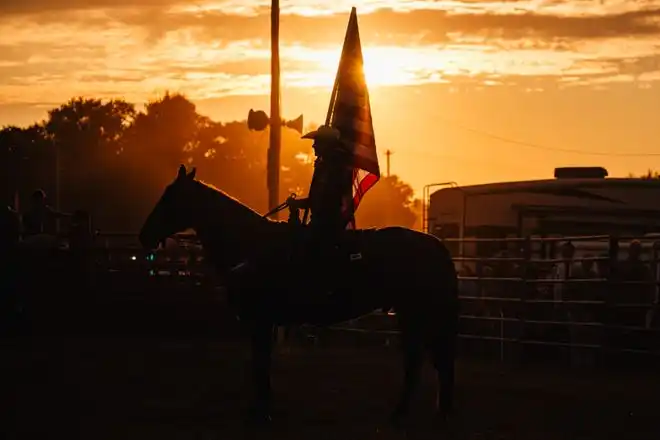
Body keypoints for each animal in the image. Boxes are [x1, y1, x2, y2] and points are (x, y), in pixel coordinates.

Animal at [139, 165, 458, 426]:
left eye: (170, 197)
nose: (144, 235)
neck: (252, 244)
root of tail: (436, 245)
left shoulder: (261, 321)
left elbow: (260, 364)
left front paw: (261, 412)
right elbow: (261, 363)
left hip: (418, 315)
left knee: (425, 361)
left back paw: (410, 413)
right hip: (411, 316)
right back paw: (415, 413)